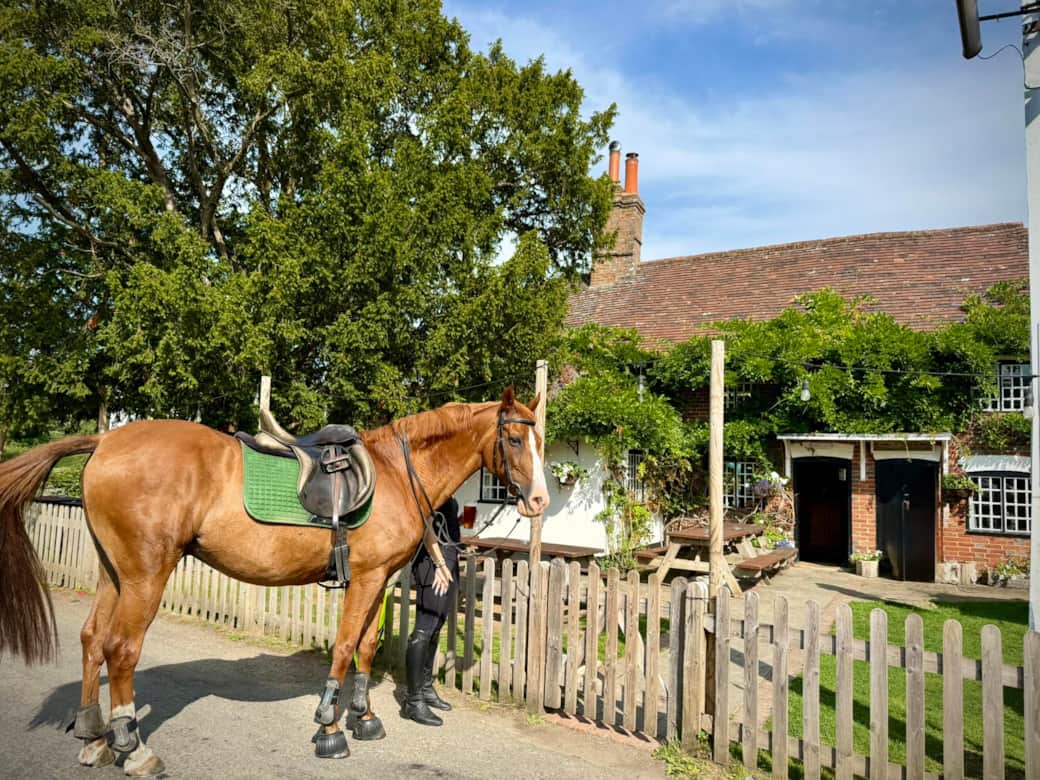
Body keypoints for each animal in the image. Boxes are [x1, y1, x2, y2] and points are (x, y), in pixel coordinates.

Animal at [0, 388, 549, 776]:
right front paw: (330, 728)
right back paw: (132, 748)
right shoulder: (365, 578)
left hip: (113, 572)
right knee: (121, 649)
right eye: (515, 440)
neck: (394, 473)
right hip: (145, 575)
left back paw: (94, 738)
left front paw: (364, 717)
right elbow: (344, 647)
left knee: (93, 639)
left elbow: (367, 647)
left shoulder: (378, 579)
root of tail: (105, 440)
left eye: (540, 441)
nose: (540, 500)